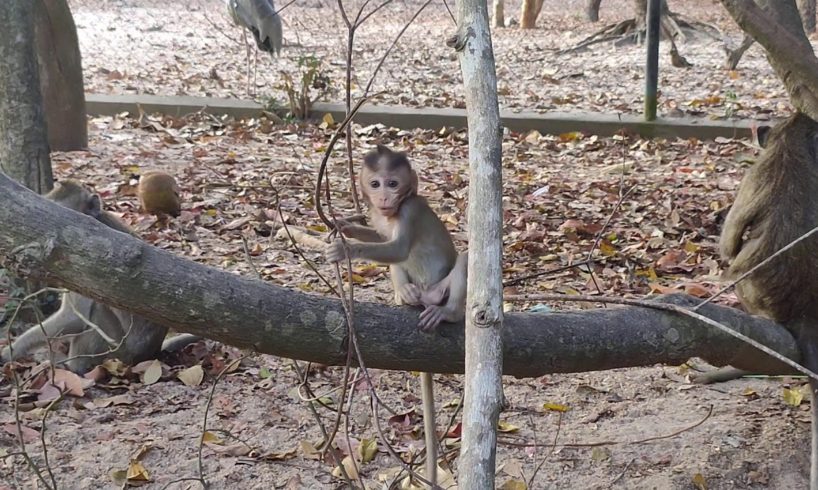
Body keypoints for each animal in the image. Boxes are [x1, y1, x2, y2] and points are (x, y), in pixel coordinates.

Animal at [0, 182, 194, 374]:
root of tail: (151, 354)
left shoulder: (81, 265)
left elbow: (74, 318)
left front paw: (10, 351)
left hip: (119, 353)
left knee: (96, 311)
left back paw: (72, 366)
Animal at [324, 143, 466, 486]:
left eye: (393, 183)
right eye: (375, 184)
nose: (385, 198)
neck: (395, 210)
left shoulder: (411, 209)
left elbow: (398, 247)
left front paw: (345, 248)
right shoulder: (380, 216)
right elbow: (382, 240)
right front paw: (346, 225)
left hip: (443, 290)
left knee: (466, 259)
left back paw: (448, 312)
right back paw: (407, 296)